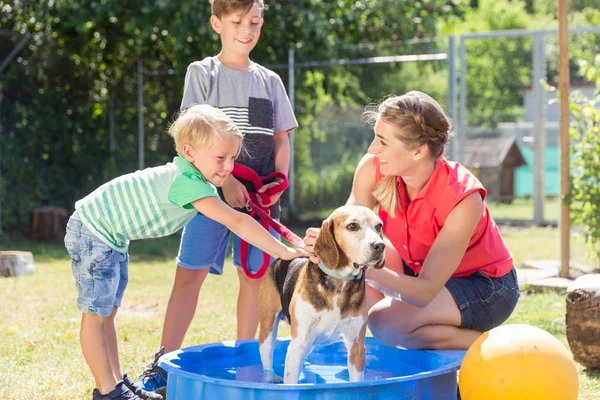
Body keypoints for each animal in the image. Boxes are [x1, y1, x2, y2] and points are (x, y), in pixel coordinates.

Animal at [256, 205, 384, 382]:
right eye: (352, 226)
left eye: (379, 226)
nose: (380, 245)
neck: (340, 282)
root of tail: (280, 260)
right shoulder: (297, 345)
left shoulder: (357, 347)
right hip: (268, 331)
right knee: (267, 360)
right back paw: (271, 379)